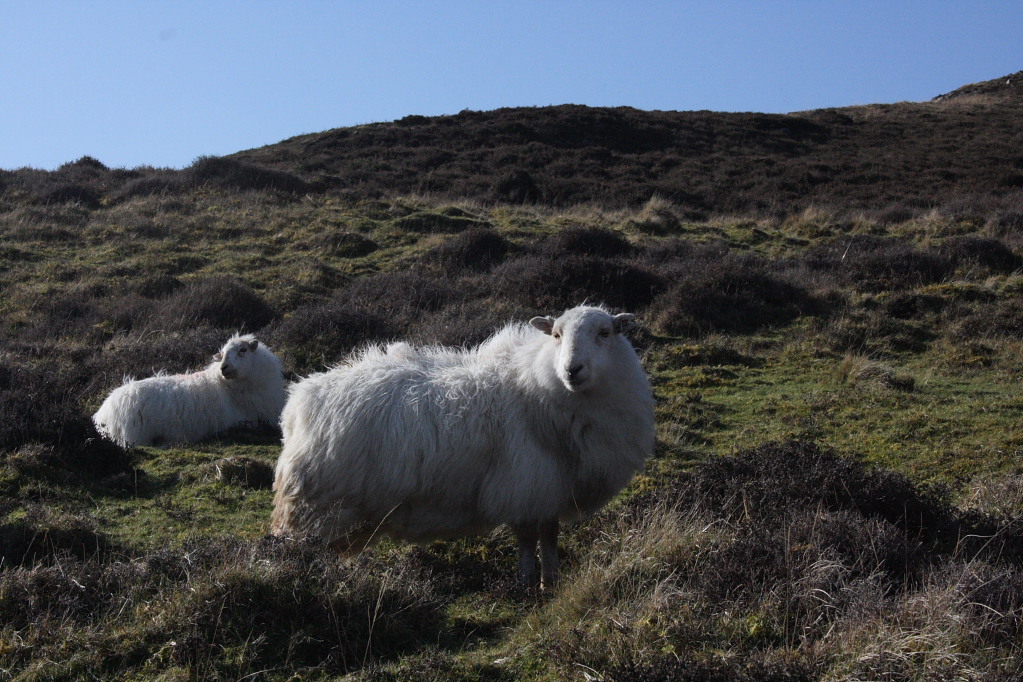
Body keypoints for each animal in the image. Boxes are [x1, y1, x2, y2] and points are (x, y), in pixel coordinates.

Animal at [92, 334, 286, 448]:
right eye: (222, 354)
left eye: (242, 350)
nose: (223, 367)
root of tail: (103, 413)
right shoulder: (245, 421)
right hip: (136, 437)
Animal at [271, 304, 655, 588]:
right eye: (557, 335)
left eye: (605, 333)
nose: (572, 369)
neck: (537, 384)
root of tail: (300, 401)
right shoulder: (525, 483)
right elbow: (528, 539)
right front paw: (528, 584)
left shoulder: (549, 487)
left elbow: (549, 536)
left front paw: (551, 581)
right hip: (315, 506)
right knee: (303, 553)